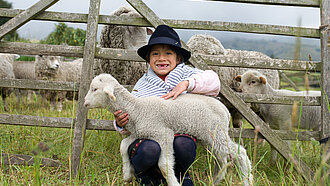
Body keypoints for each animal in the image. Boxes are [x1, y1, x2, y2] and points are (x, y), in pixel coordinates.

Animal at [83, 73, 253, 186]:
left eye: (95, 89)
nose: (84, 103)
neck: (137, 109)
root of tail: (225, 110)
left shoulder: (163, 134)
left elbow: (164, 165)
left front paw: (173, 182)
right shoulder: (141, 132)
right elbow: (123, 145)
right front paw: (127, 174)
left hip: (216, 132)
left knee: (240, 153)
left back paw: (246, 179)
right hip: (209, 137)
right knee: (221, 158)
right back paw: (216, 179)